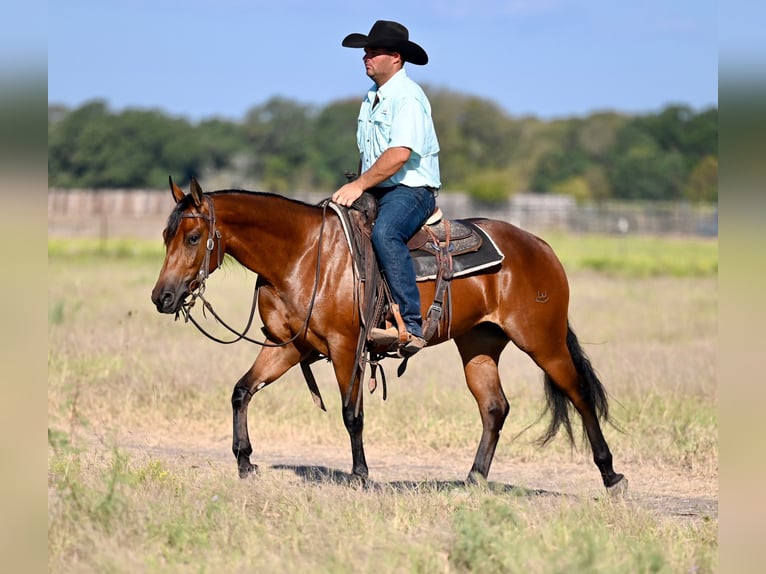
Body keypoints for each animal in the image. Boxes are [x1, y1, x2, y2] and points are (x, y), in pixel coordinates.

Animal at [152, 179, 632, 496]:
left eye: (193, 236)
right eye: (165, 235)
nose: (163, 297)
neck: (304, 254)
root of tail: (541, 246)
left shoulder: (346, 346)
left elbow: (351, 414)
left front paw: (360, 475)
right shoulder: (289, 346)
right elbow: (242, 390)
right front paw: (244, 461)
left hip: (543, 341)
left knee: (578, 394)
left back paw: (611, 476)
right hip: (479, 344)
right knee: (495, 407)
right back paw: (473, 480)